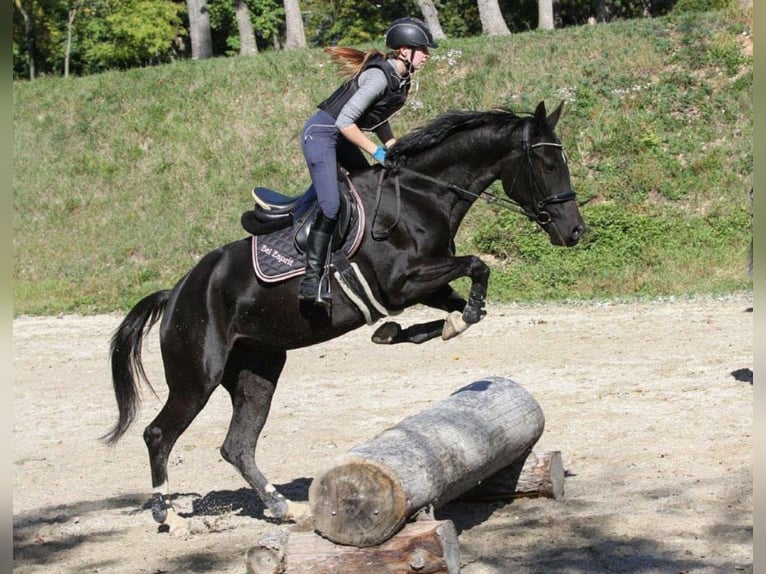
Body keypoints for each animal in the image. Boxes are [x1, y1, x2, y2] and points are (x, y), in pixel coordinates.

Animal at [105, 101, 585, 533]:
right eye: (547, 163)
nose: (574, 231)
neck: (420, 195)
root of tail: (176, 292)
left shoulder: (427, 287)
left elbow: (466, 303)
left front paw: (409, 330)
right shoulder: (401, 283)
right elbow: (478, 266)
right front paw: (420, 326)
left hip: (258, 369)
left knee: (237, 446)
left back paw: (284, 508)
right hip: (196, 377)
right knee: (159, 434)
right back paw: (167, 515)